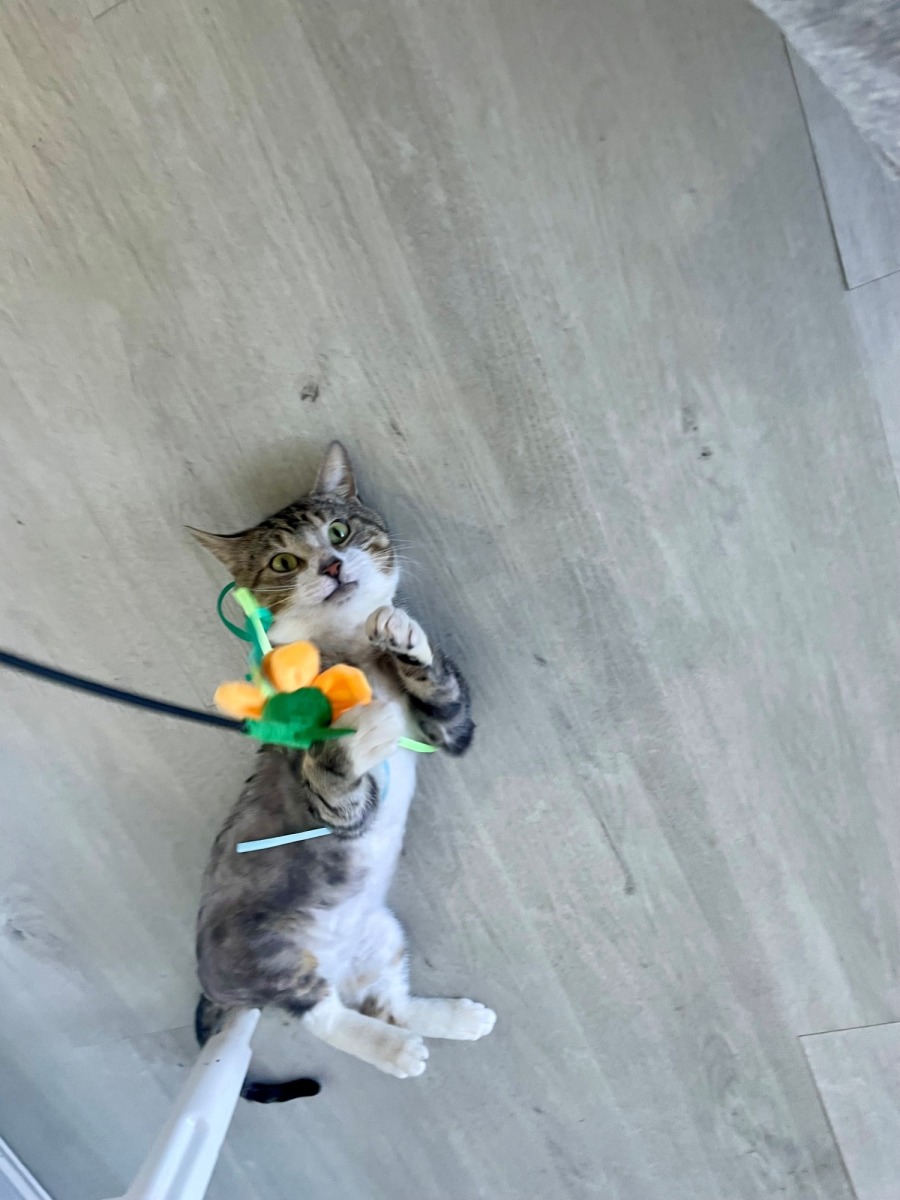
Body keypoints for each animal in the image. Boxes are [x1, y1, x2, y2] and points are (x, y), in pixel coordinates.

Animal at [191, 441, 496, 1101]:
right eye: (284, 560)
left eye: (338, 531)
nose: (331, 565)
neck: (350, 650)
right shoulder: (338, 806)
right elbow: (337, 780)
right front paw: (361, 724)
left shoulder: (445, 731)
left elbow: (448, 705)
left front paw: (405, 633)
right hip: (276, 956)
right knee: (322, 1016)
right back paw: (396, 1051)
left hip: (383, 937)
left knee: (389, 1002)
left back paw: (455, 1020)